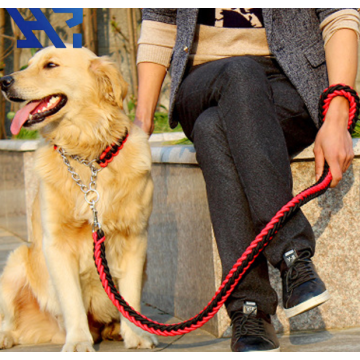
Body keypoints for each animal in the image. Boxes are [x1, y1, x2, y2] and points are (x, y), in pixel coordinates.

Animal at [0, 45, 158, 352]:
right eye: (29, 64)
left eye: (50, 65)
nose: (3, 81)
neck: (87, 153)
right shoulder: (57, 243)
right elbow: (72, 301)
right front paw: (77, 341)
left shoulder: (135, 237)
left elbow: (131, 297)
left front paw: (136, 334)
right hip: (15, 264)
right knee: (11, 322)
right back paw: (6, 336)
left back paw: (113, 330)